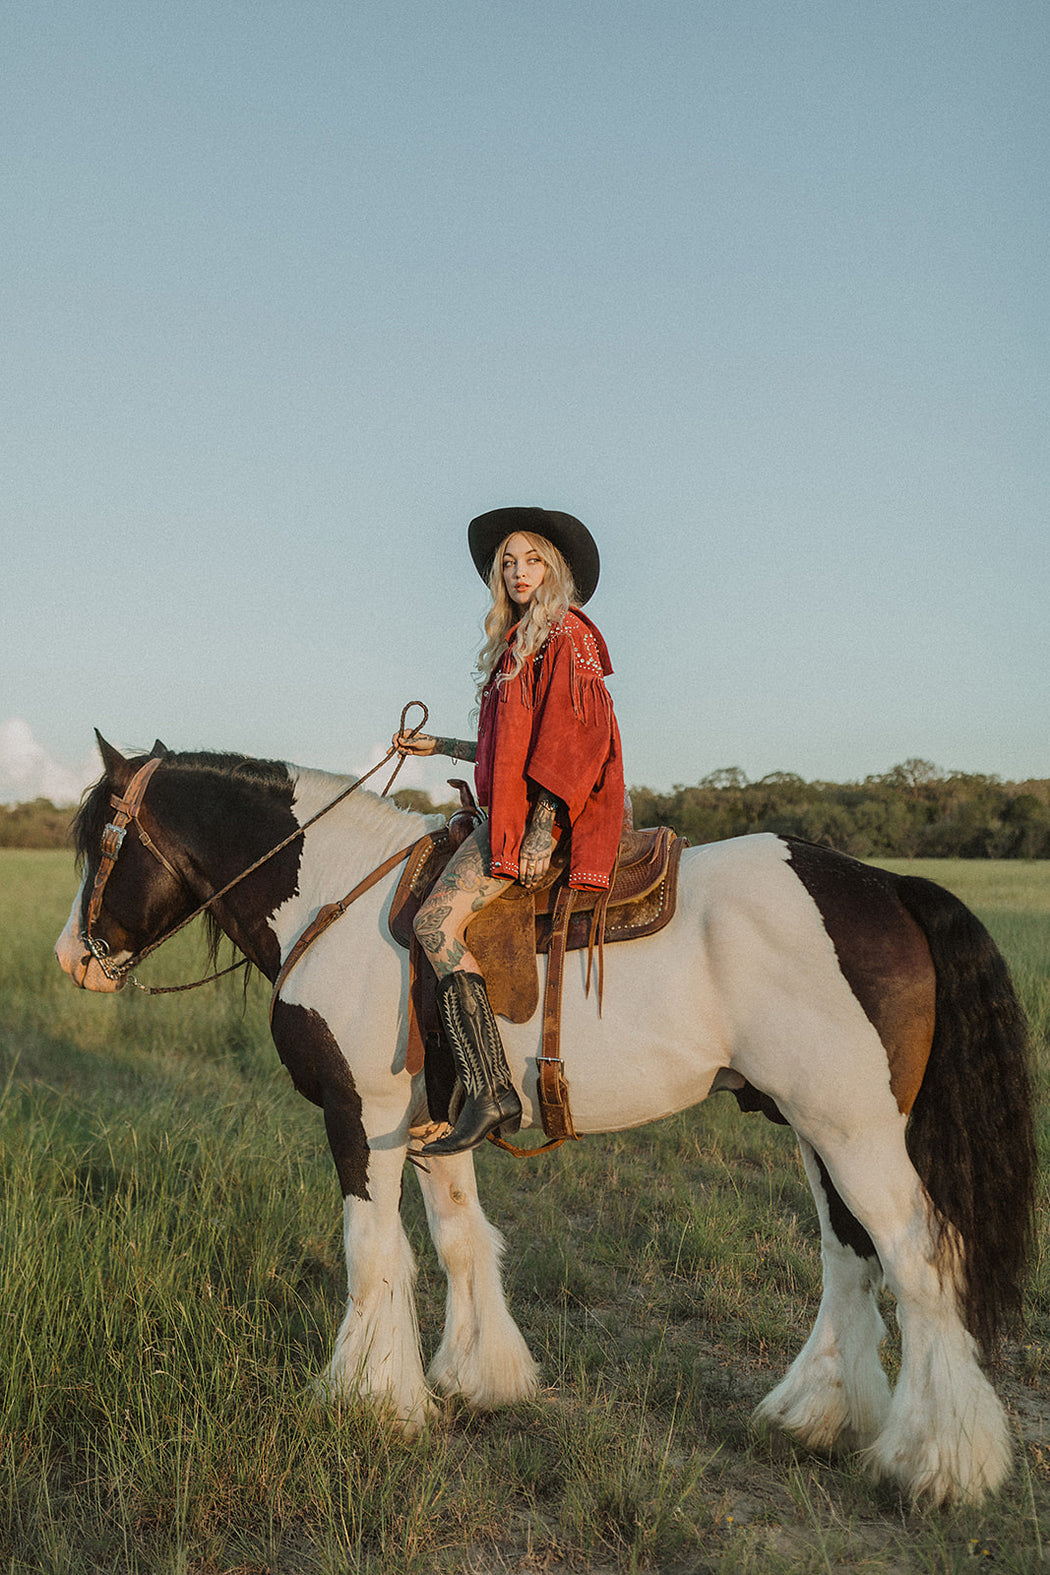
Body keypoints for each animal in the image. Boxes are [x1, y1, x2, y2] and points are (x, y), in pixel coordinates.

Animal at [55, 737, 1032, 1499]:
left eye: (101, 839)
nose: (72, 957)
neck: (334, 894)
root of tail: (888, 886)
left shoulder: (359, 1115)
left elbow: (372, 1253)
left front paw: (366, 1400)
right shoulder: (432, 1126)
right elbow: (458, 1240)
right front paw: (477, 1377)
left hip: (853, 1133)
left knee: (919, 1265)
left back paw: (937, 1462)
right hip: (816, 1131)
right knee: (850, 1260)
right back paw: (817, 1416)